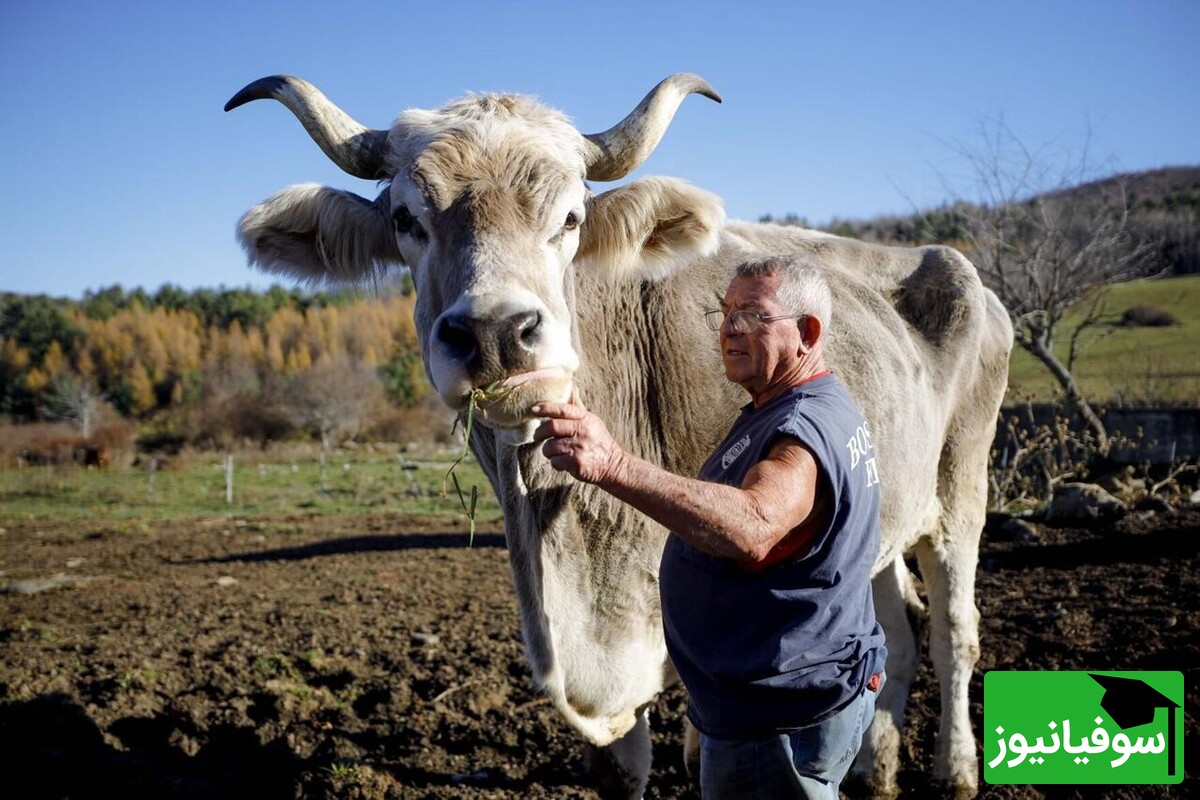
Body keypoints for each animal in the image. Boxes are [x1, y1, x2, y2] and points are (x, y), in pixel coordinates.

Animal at [226, 73, 1012, 796]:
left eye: (571, 218)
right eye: (404, 219)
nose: (496, 332)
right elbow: (623, 763)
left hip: (962, 490)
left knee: (955, 632)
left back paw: (956, 771)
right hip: (886, 515)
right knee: (896, 635)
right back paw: (877, 770)